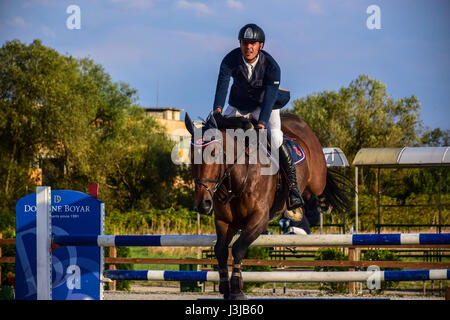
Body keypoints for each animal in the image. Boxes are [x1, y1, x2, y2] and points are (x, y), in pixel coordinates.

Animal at [185, 111, 350, 298]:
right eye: (191, 156)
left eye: (214, 153)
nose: (202, 204)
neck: (237, 179)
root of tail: (298, 120)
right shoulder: (225, 222)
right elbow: (221, 250)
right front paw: (225, 288)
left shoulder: (259, 220)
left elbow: (238, 248)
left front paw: (237, 289)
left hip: (317, 178)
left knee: (318, 187)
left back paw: (317, 203)